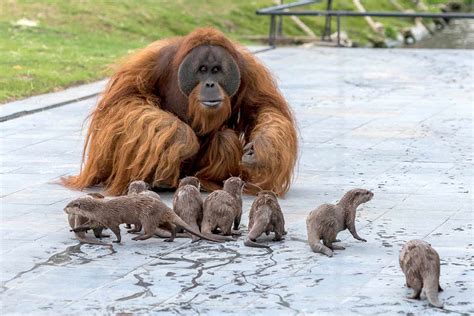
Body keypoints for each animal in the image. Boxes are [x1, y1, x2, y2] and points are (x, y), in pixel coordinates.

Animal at [64, 194, 221, 243]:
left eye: (69, 205)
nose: (64, 209)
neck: (98, 209)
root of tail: (164, 207)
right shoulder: (98, 219)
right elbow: (88, 225)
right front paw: (75, 229)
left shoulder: (109, 219)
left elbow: (116, 230)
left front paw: (117, 240)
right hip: (159, 219)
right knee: (169, 227)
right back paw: (170, 238)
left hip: (147, 217)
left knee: (150, 231)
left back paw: (138, 237)